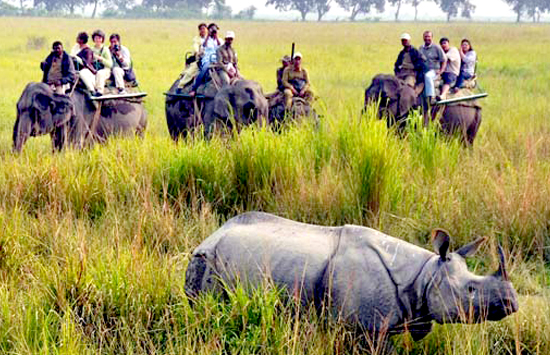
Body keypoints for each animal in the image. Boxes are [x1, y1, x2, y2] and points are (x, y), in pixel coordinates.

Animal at [13, 82, 147, 154]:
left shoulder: (78, 118)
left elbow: (73, 147)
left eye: (35, 111)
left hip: (142, 122)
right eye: (18, 109)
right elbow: (57, 146)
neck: (56, 92)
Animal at [188, 213, 520, 352]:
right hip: (206, 261)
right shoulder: (364, 327)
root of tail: (212, 235)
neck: (424, 275)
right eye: (470, 290)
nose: (512, 303)